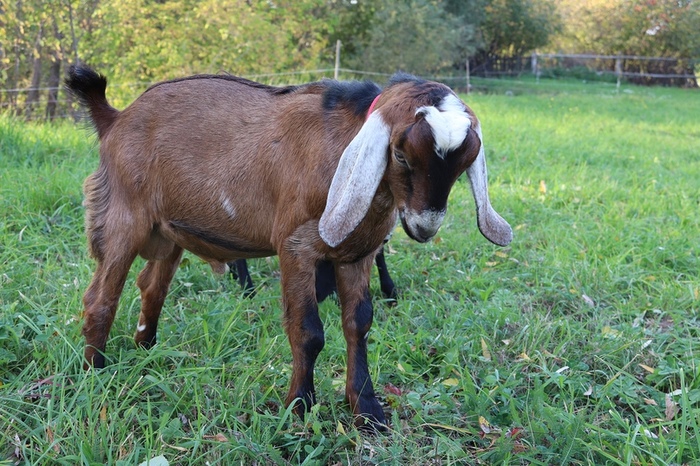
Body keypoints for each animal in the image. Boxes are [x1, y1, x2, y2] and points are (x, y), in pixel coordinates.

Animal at [65, 65, 512, 430]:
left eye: (462, 165)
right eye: (401, 154)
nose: (424, 226)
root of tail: (116, 117)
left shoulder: (359, 253)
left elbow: (359, 323)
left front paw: (367, 410)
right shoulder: (296, 247)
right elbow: (308, 331)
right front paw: (299, 407)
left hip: (170, 230)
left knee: (152, 287)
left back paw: (146, 350)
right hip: (123, 215)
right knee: (101, 296)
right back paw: (95, 371)